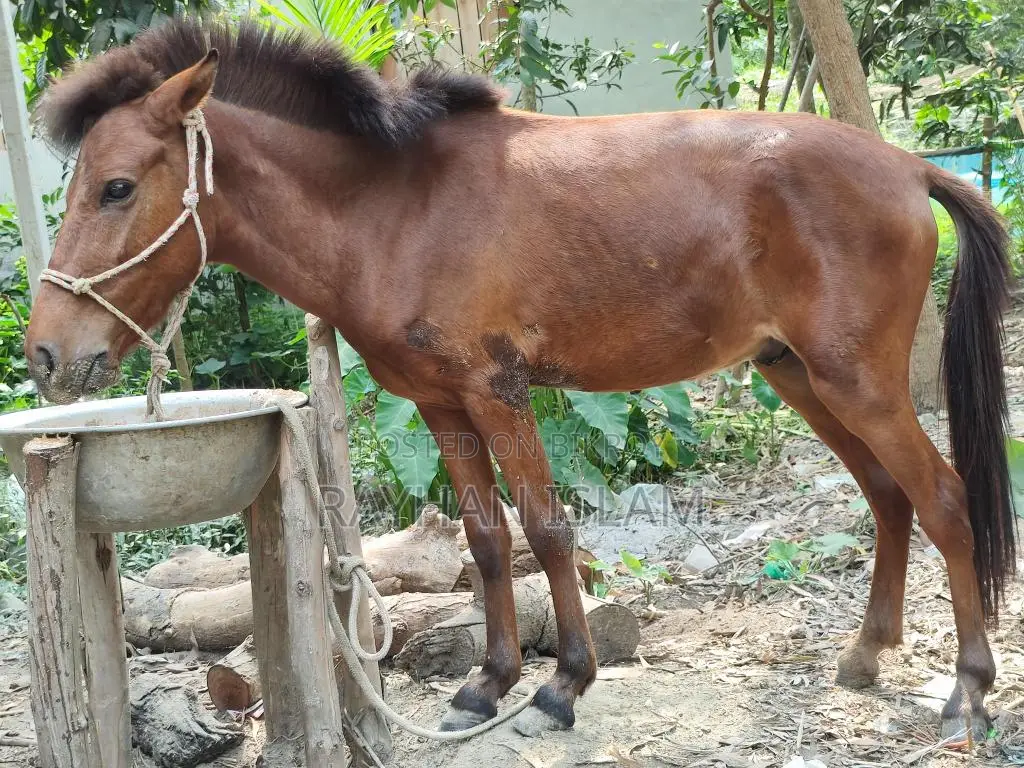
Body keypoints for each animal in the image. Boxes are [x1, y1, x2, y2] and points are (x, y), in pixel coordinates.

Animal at [24, 18, 1015, 740]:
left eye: (117, 188)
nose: (45, 356)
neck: (393, 209)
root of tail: (906, 165)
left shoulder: (498, 391)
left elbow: (545, 529)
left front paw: (562, 686)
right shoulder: (438, 403)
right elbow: (486, 538)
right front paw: (487, 683)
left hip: (859, 383)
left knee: (943, 498)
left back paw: (968, 690)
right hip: (802, 379)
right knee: (888, 498)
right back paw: (866, 656)